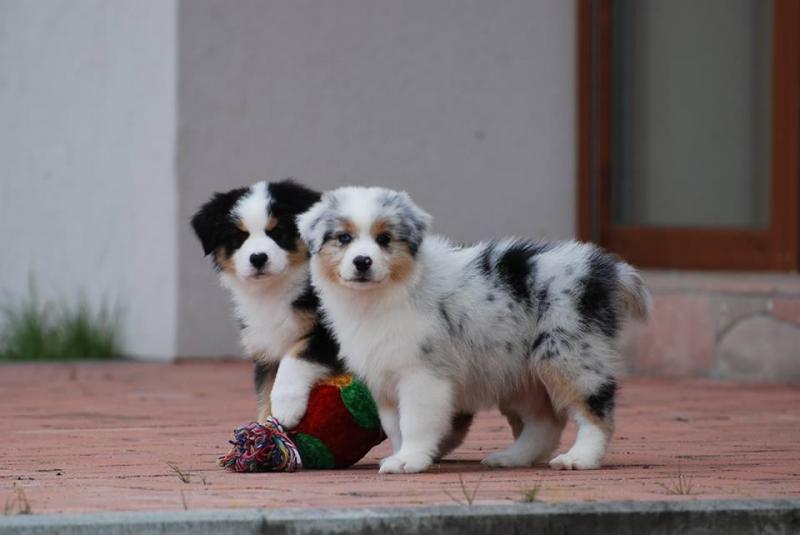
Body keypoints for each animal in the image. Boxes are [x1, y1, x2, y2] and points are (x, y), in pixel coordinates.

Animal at [195, 180, 346, 428]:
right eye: (239, 237)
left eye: (278, 232)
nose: (258, 258)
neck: (272, 291)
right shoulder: (264, 348)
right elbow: (264, 392)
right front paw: (267, 429)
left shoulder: (330, 334)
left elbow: (295, 356)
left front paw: (286, 406)